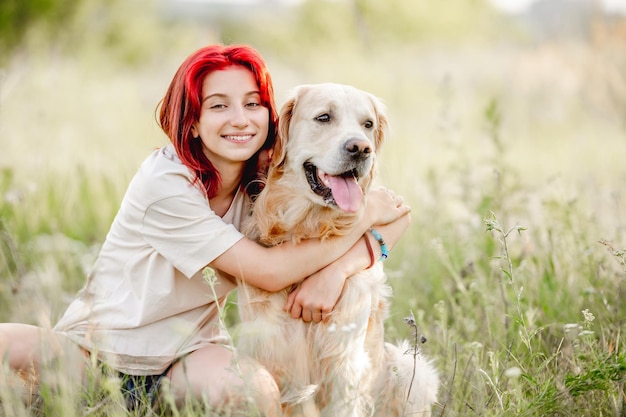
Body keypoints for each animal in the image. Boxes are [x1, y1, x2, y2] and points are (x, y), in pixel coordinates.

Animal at [236, 83, 436, 414]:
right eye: (324, 117)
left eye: (367, 124)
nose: (361, 149)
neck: (309, 229)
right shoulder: (276, 354)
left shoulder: (344, 364)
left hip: (412, 369)